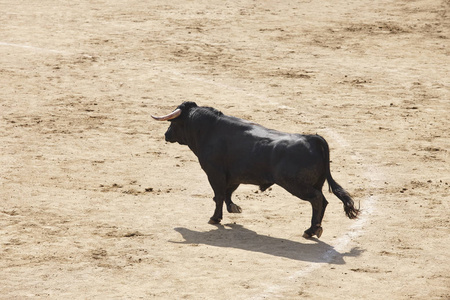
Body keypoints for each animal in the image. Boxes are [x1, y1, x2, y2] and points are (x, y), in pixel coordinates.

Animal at [153, 102, 360, 238]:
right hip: (313, 183)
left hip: (296, 185)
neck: (208, 130)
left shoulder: (214, 173)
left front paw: (215, 218)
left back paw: (311, 231)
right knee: (322, 202)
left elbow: (218, 195)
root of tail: (313, 139)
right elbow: (227, 193)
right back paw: (315, 229)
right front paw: (233, 208)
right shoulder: (234, 175)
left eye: (174, 122)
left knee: (317, 199)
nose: (166, 135)